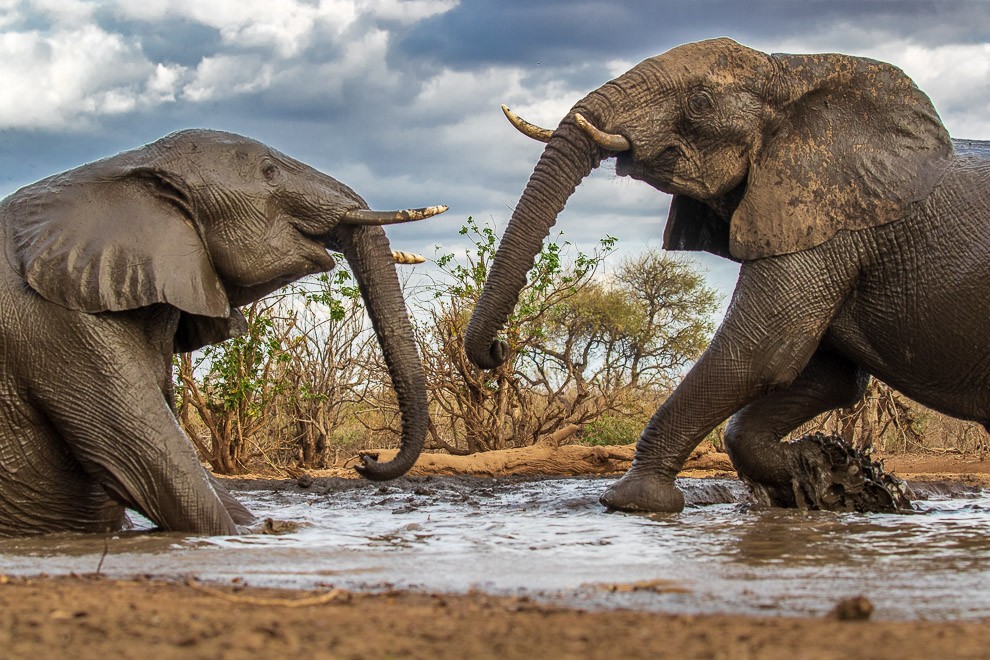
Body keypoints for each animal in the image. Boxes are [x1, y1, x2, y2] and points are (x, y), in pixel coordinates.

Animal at [464, 37, 990, 516]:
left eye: (699, 103)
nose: (499, 350)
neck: (791, 68)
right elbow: (827, 378)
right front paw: (831, 474)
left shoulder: (826, 223)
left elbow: (759, 354)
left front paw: (631, 503)